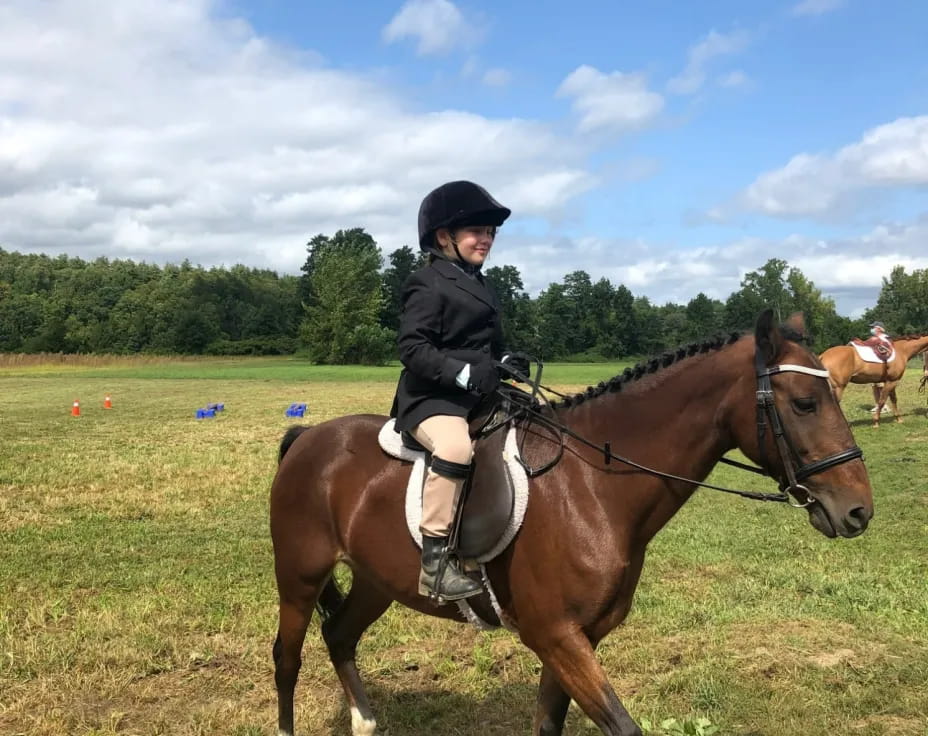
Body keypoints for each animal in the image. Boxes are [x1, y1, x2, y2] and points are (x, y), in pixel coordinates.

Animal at [270, 311, 873, 736]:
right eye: (804, 403)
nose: (858, 511)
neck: (593, 486)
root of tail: (310, 437)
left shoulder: (577, 639)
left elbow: (549, 724)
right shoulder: (557, 636)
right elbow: (622, 726)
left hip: (377, 581)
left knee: (339, 636)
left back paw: (365, 721)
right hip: (299, 577)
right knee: (288, 657)